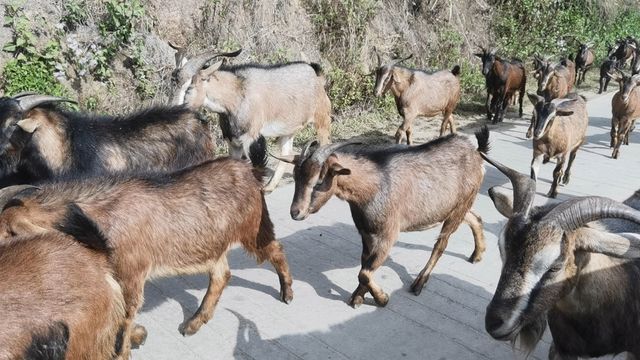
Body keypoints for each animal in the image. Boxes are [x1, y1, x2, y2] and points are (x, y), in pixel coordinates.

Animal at [0, 159, 292, 358]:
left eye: (6, 232)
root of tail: (250, 169)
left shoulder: (130, 276)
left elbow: (125, 319)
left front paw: (125, 349)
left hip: (254, 230)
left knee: (275, 249)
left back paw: (287, 292)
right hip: (213, 246)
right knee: (222, 275)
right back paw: (194, 323)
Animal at [276, 126, 490, 306]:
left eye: (319, 182)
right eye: (295, 177)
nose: (295, 212)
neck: (371, 187)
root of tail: (476, 153)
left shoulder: (387, 235)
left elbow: (364, 272)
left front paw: (382, 298)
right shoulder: (366, 233)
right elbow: (365, 266)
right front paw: (358, 297)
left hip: (459, 207)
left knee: (441, 244)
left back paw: (418, 283)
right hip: (454, 208)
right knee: (475, 218)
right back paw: (477, 254)